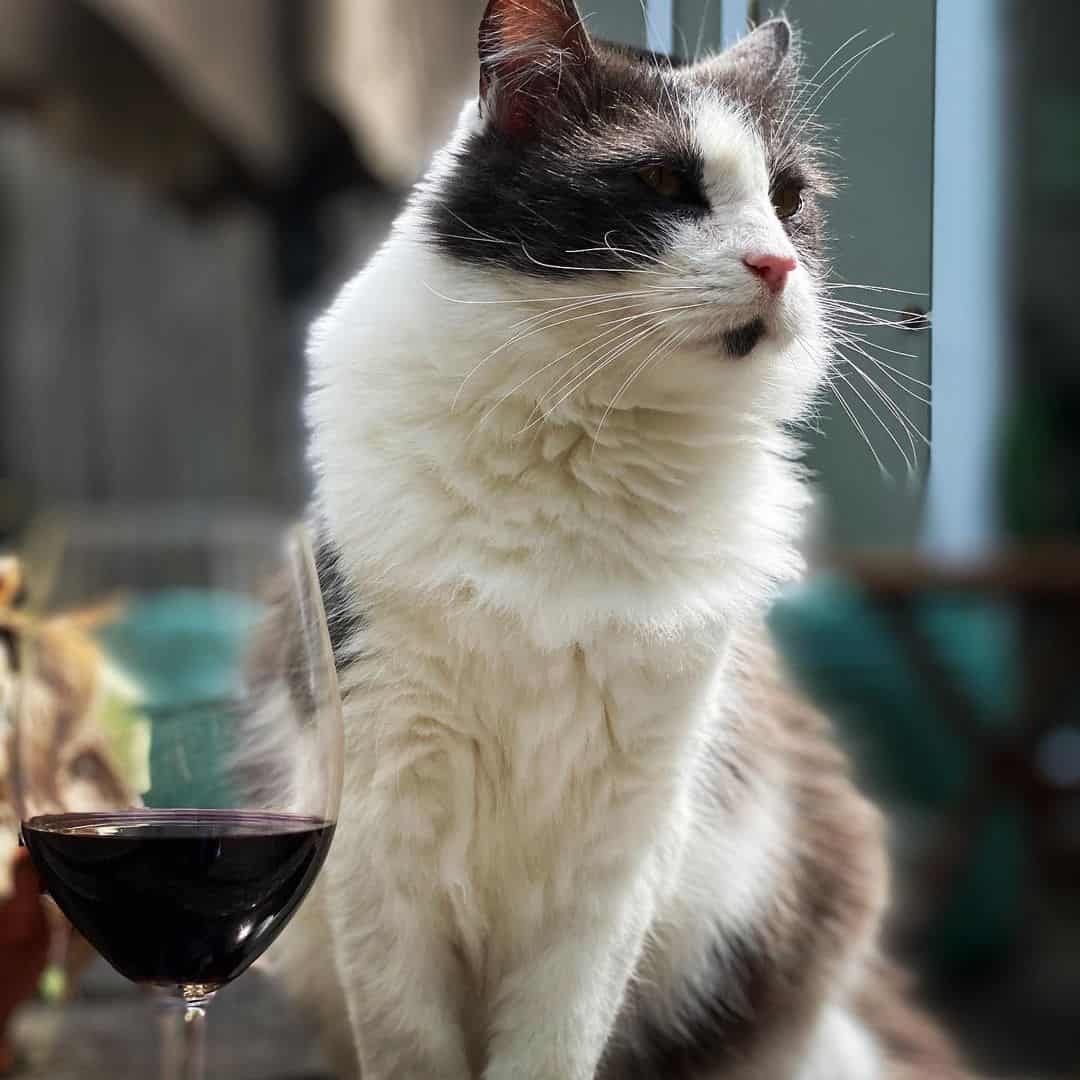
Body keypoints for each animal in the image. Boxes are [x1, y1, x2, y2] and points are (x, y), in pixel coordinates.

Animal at [274, 4, 967, 1075]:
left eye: (787, 200)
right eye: (664, 184)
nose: (779, 265)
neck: (591, 446)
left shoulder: (620, 849)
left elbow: (553, 1044)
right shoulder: (384, 822)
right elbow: (411, 1042)